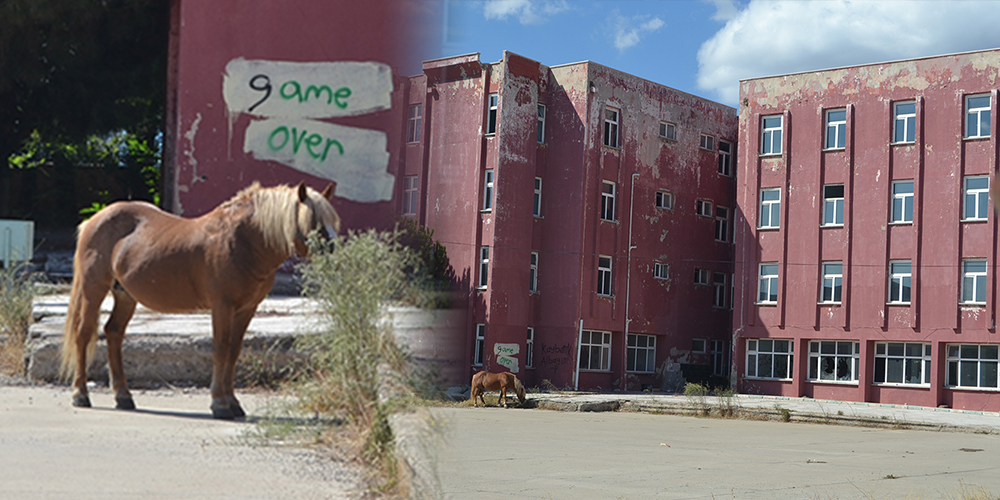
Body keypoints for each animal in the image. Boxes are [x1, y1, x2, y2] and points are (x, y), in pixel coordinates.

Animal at [59, 182, 340, 420]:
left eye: (333, 222)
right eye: (314, 223)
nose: (335, 254)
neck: (243, 243)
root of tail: (94, 220)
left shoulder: (246, 309)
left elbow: (234, 352)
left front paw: (233, 403)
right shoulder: (222, 306)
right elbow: (220, 349)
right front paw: (219, 404)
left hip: (125, 295)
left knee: (113, 332)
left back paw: (123, 396)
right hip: (93, 289)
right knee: (83, 333)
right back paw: (80, 394)